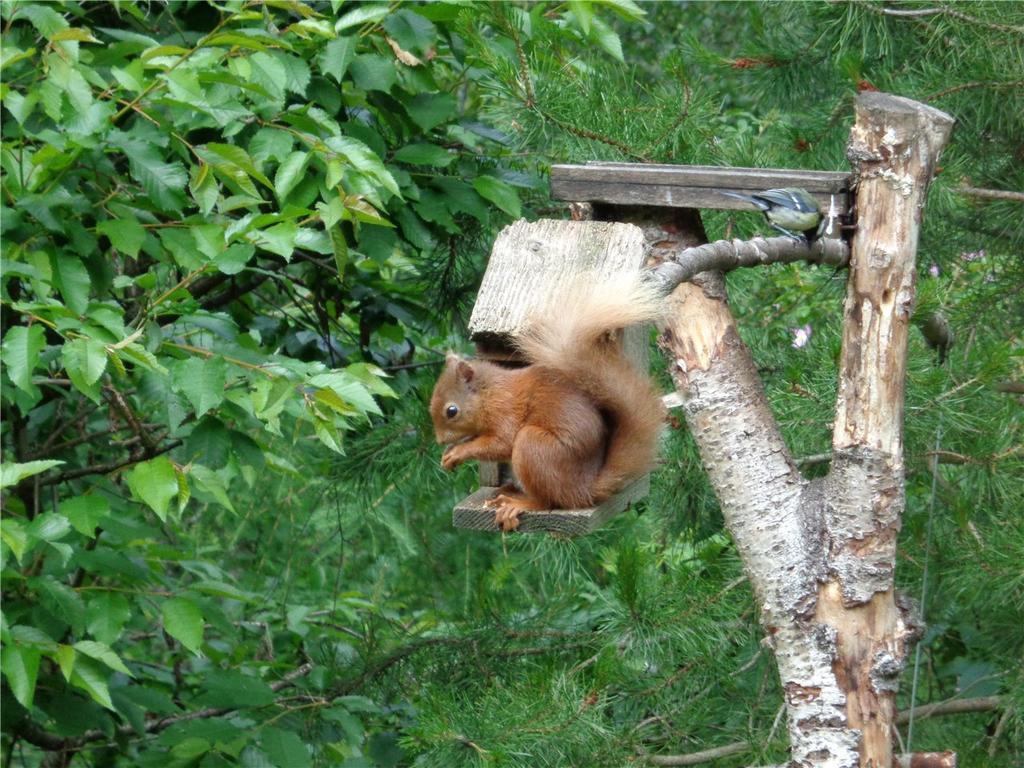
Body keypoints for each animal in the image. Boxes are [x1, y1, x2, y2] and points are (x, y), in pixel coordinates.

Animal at [430, 272, 665, 532]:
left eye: (452, 411)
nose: (440, 440)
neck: (488, 393)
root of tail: (583, 489)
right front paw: (449, 453)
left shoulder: (505, 410)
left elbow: (501, 443)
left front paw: (458, 452)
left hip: (534, 447)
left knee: (548, 500)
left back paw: (519, 503)